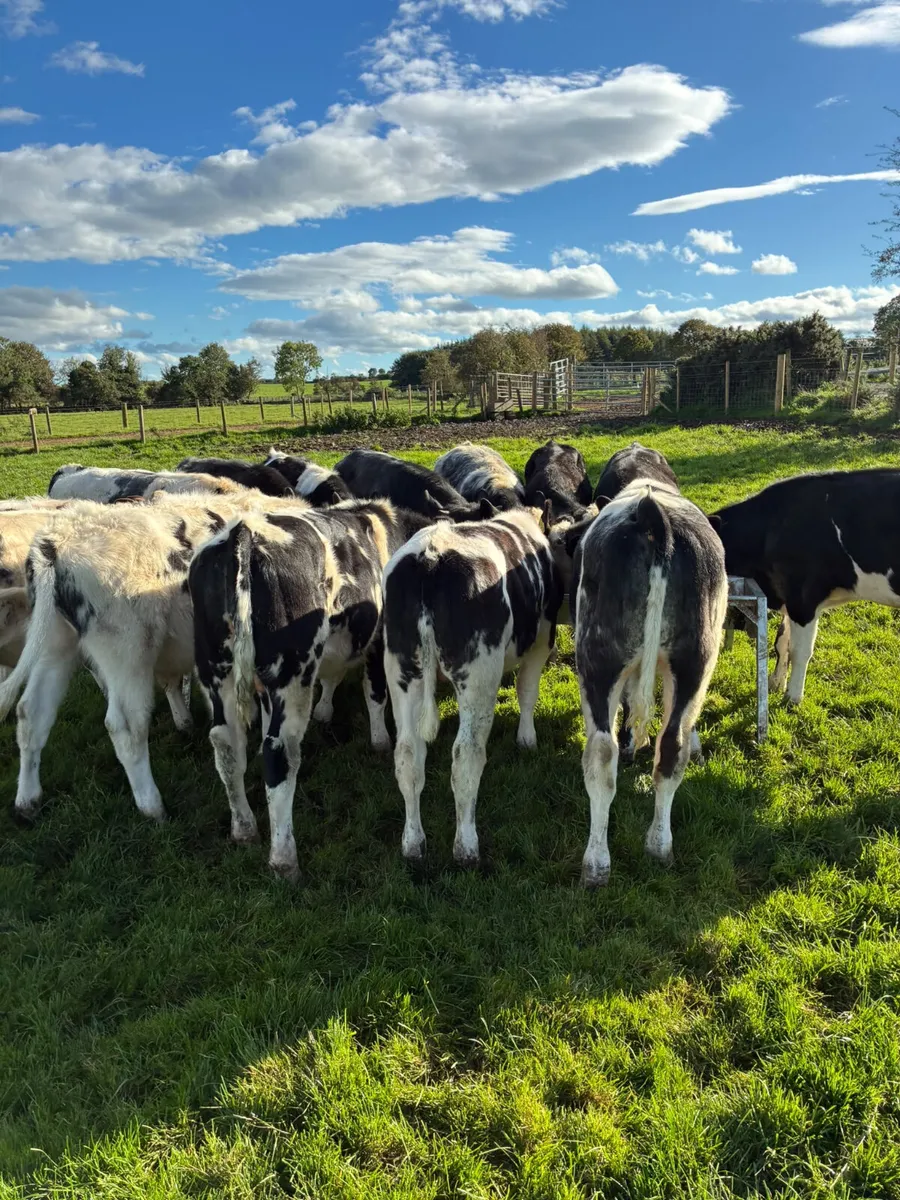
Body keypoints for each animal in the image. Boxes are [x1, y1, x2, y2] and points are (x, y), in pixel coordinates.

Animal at [0, 491, 301, 823]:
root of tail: (55, 541)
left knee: (32, 713)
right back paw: (152, 805)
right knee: (126, 726)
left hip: (55, 645)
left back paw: (27, 800)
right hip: (127, 652)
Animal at [189, 498, 432, 881]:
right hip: (293, 673)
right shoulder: (379, 642)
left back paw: (244, 827)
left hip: (217, 669)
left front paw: (326, 711)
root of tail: (244, 533)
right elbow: (374, 692)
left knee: (226, 744)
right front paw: (379, 740)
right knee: (279, 751)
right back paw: (284, 858)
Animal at [382, 507, 564, 867]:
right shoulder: (541, 639)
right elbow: (527, 690)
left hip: (403, 673)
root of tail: (431, 556)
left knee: (408, 756)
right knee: (466, 755)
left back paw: (413, 844)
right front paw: (527, 739)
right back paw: (466, 847)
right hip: (479, 676)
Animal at [572, 469, 727, 887]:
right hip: (695, 661)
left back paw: (596, 863)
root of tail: (652, 516)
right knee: (671, 748)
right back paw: (659, 846)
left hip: (597, 660)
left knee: (601, 753)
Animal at [711, 468, 900, 705]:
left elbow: (800, 651)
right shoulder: (789, 598)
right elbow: (781, 642)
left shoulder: (803, 599)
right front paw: (775, 684)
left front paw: (792, 698)